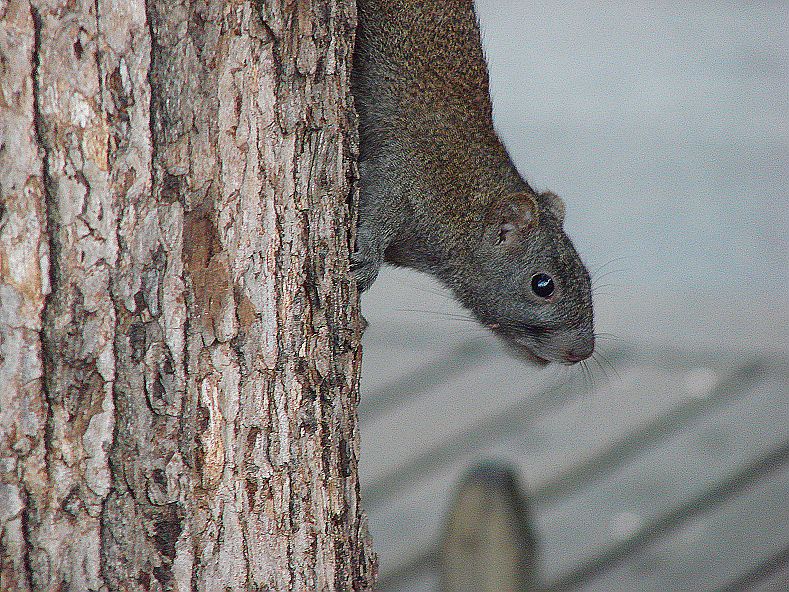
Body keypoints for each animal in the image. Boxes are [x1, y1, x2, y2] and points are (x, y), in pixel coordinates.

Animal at [350, 0, 592, 366]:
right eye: (543, 285)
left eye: (587, 276)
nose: (582, 352)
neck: (466, 201)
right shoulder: (400, 174)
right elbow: (378, 208)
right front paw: (366, 259)